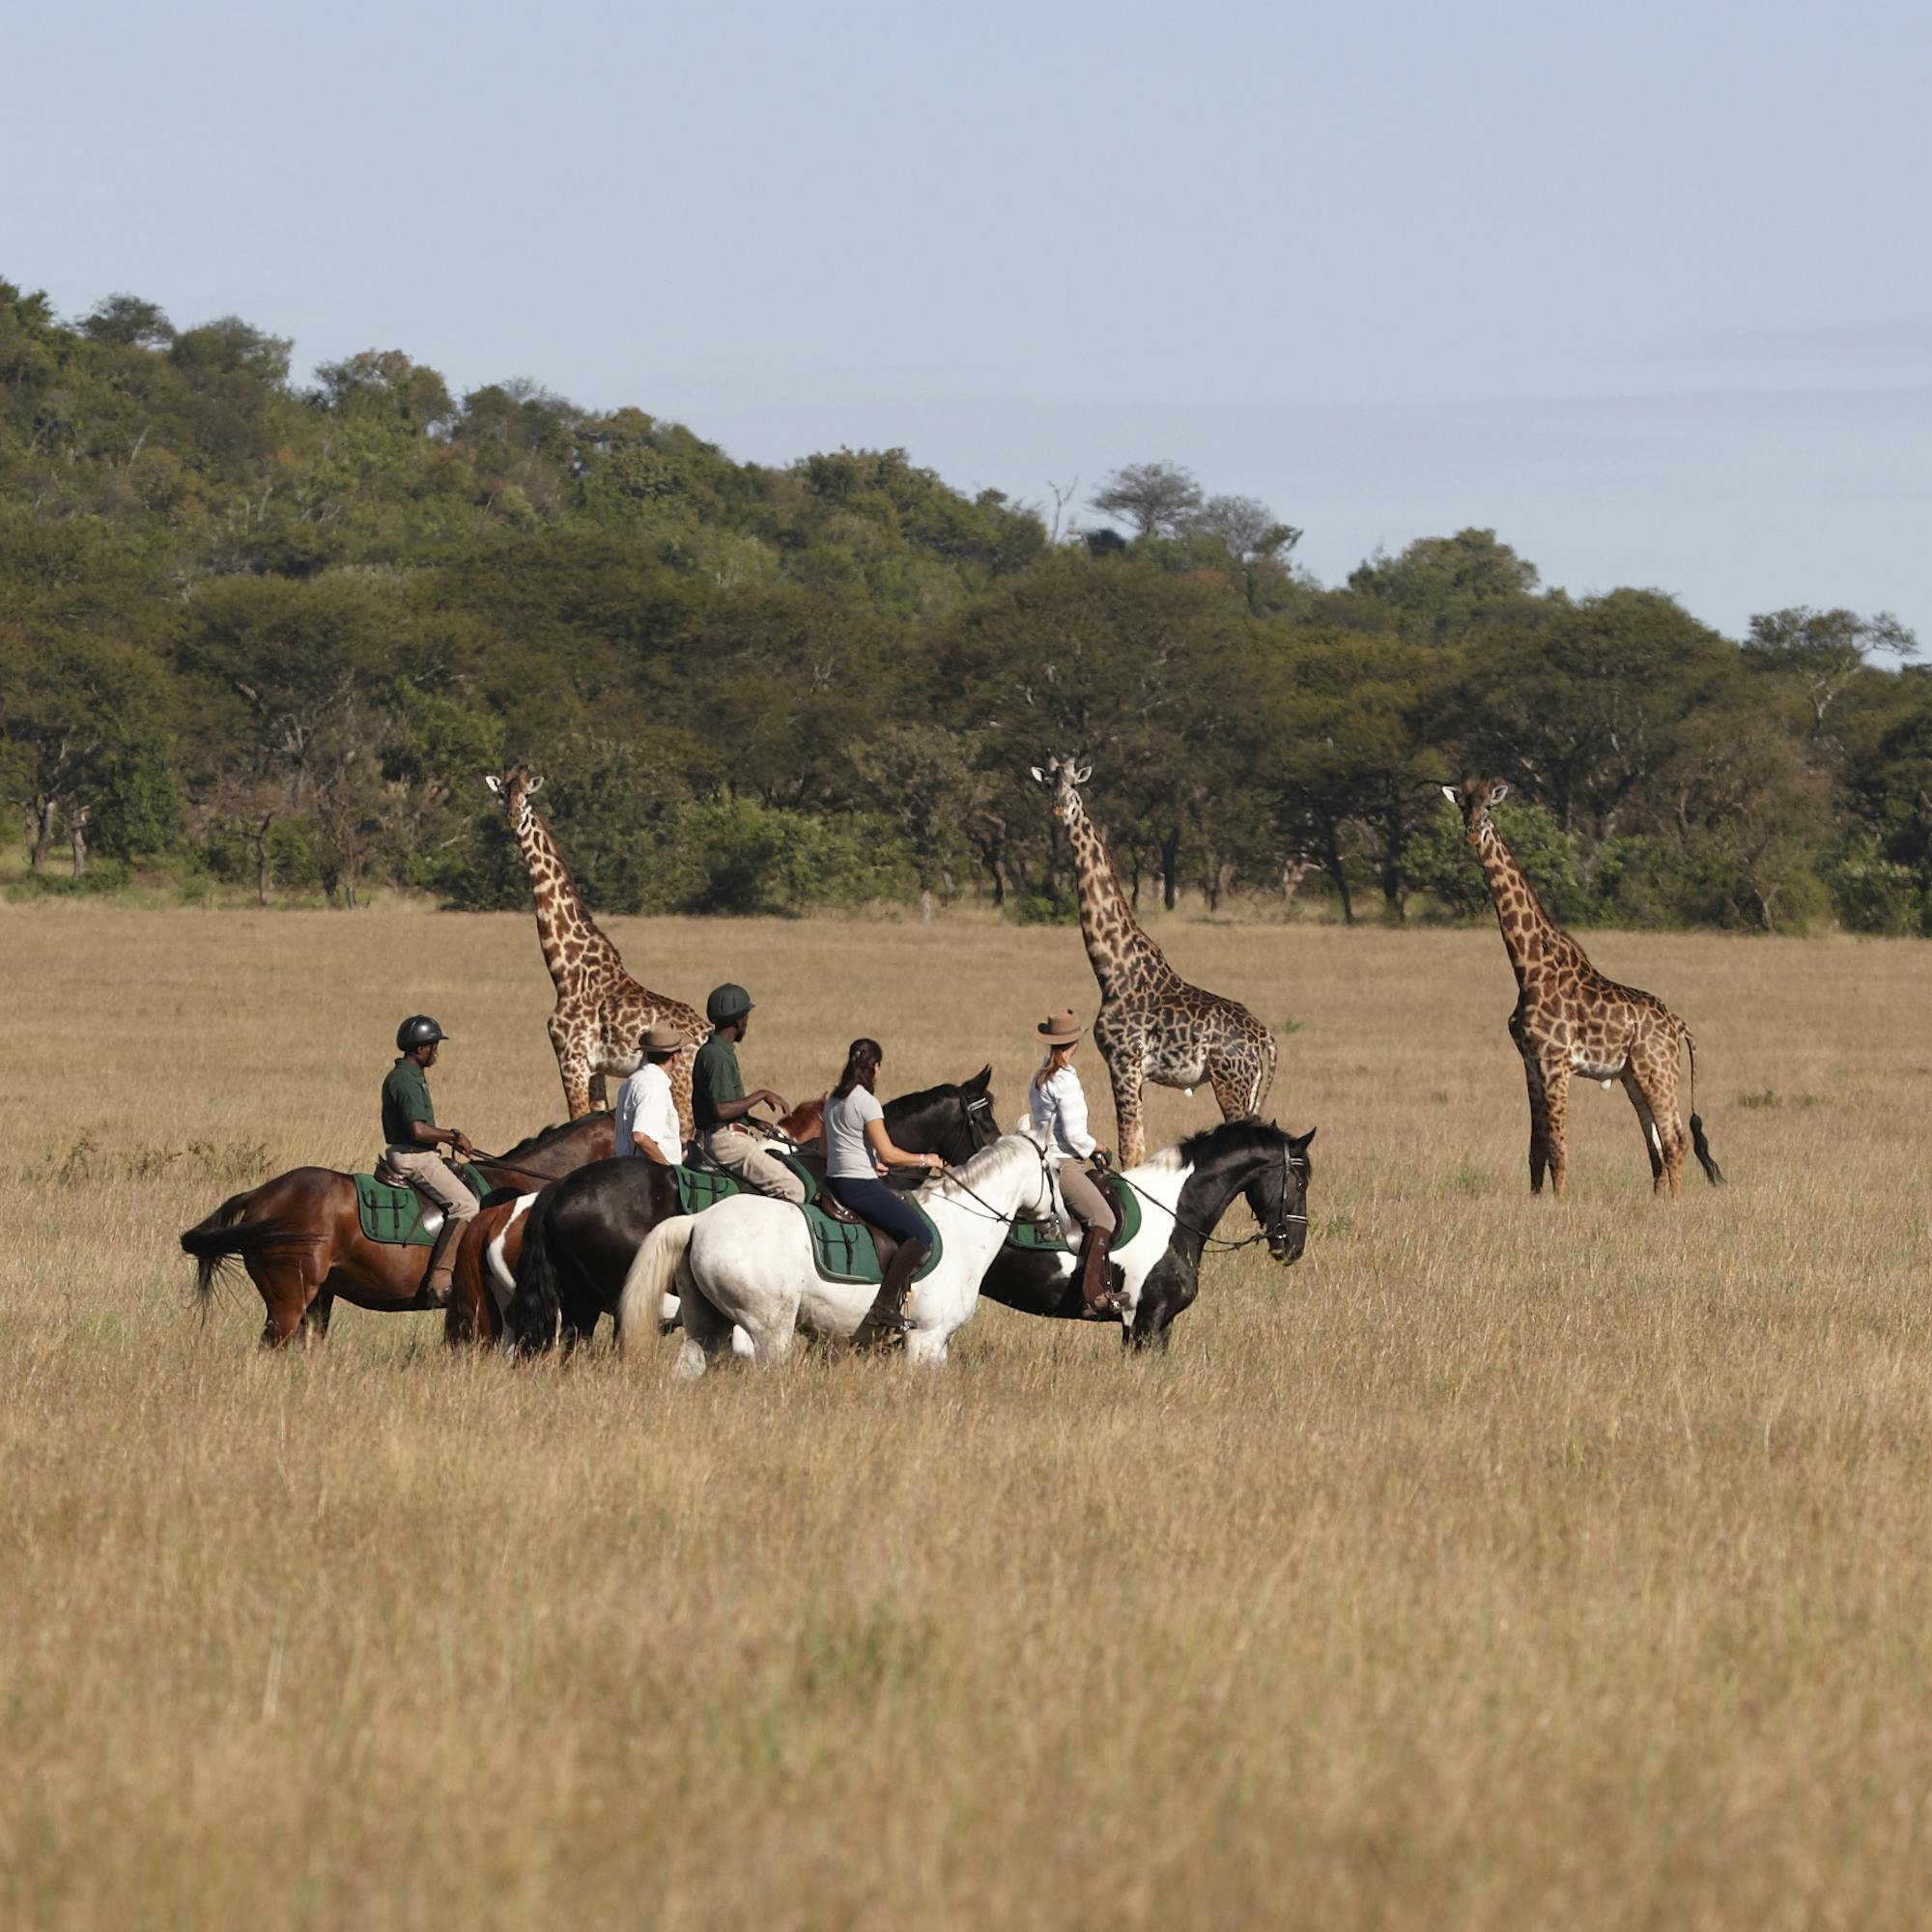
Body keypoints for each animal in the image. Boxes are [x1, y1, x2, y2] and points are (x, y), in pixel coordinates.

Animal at [485, 766, 706, 1130]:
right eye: (502, 793)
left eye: (527, 795)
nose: (513, 817)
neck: (566, 971)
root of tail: (706, 1033)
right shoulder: (595, 1068)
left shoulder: (571, 1058)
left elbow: (575, 1118)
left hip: (683, 1077)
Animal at [1031, 754, 1278, 1167]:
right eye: (1048, 783)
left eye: (1074, 784)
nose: (1059, 809)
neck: (1113, 969)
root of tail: (1267, 1041)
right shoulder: (1134, 1072)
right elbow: (1136, 1146)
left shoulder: (1123, 1062)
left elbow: (1129, 1150)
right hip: (1252, 1089)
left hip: (1232, 1083)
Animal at [1443, 776, 1723, 1198]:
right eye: (1463, 806)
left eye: (1489, 807)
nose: (1473, 833)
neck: (1528, 967)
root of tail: (1678, 1024)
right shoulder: (1530, 1063)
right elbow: (1536, 1147)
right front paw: (1536, 1200)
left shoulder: (1556, 1062)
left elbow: (1558, 1148)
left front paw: (1559, 1204)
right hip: (1633, 1077)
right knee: (1656, 1146)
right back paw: (1659, 1202)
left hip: (1657, 1070)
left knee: (1675, 1140)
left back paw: (1676, 1203)